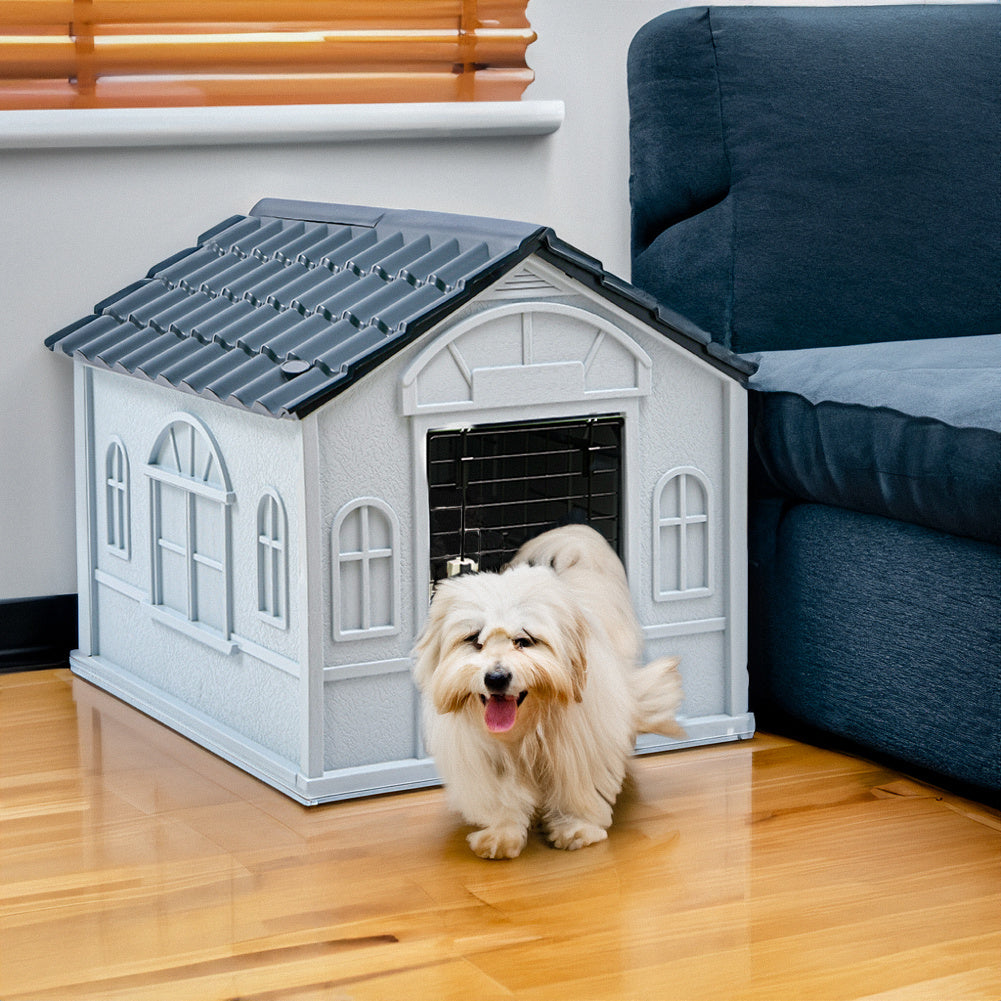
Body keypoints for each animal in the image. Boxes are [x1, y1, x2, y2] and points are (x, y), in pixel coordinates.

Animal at [410, 524, 684, 860]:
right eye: (474, 639)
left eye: (524, 641)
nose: (496, 677)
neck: (527, 726)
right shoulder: (486, 757)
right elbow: (501, 797)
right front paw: (501, 836)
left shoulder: (582, 743)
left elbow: (579, 787)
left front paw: (575, 829)